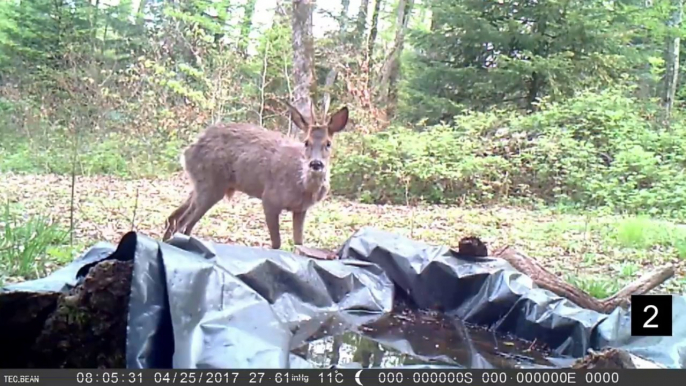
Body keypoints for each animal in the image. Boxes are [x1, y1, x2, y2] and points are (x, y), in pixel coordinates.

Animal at [161, 101, 350, 249]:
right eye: (306, 142)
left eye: (328, 143)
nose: (316, 164)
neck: (302, 185)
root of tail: (187, 152)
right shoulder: (270, 199)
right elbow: (276, 244)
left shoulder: (300, 209)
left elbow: (299, 243)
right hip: (211, 184)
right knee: (183, 223)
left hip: (200, 184)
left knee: (173, 217)